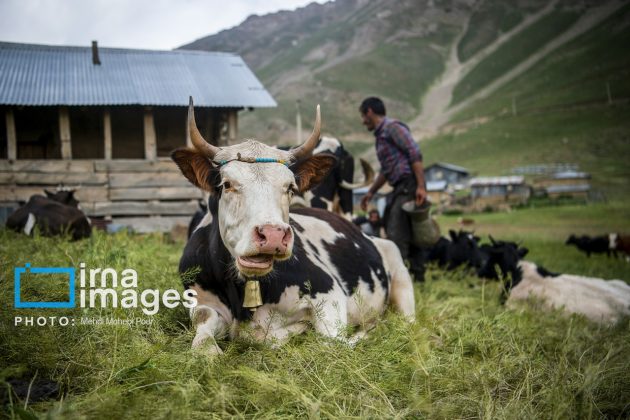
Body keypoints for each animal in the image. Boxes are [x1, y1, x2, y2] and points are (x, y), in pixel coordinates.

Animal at [173, 97, 418, 352]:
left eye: (290, 187)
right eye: (227, 184)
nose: (272, 235)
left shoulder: (329, 292)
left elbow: (329, 341)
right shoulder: (200, 300)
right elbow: (204, 330)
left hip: (399, 270)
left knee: (407, 322)